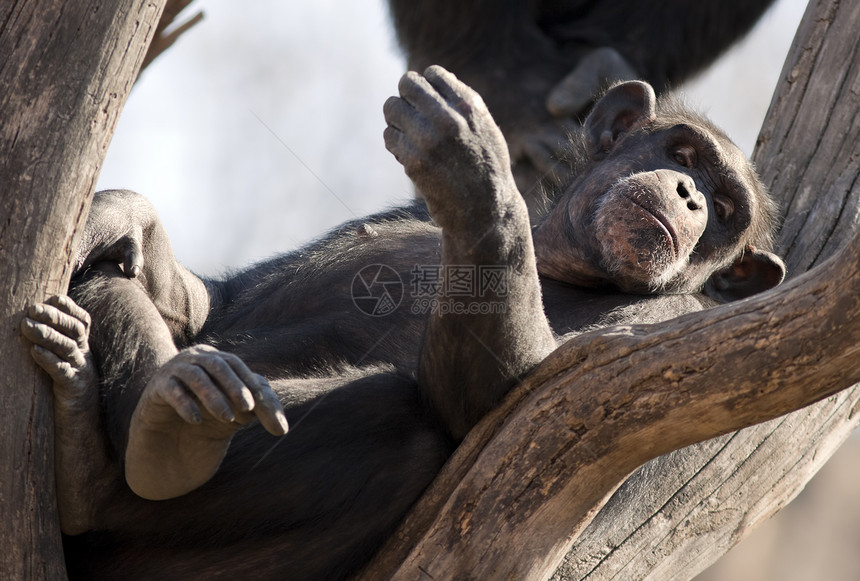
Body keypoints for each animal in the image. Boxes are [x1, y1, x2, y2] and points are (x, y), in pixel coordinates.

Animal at [21, 67, 788, 576]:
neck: (570, 263)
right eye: (683, 154)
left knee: (395, 418)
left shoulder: (680, 326)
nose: (689, 195)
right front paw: (131, 216)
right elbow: (225, 301)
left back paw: (136, 453)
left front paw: (476, 170)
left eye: (726, 209)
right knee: (114, 286)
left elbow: (538, 408)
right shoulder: (390, 216)